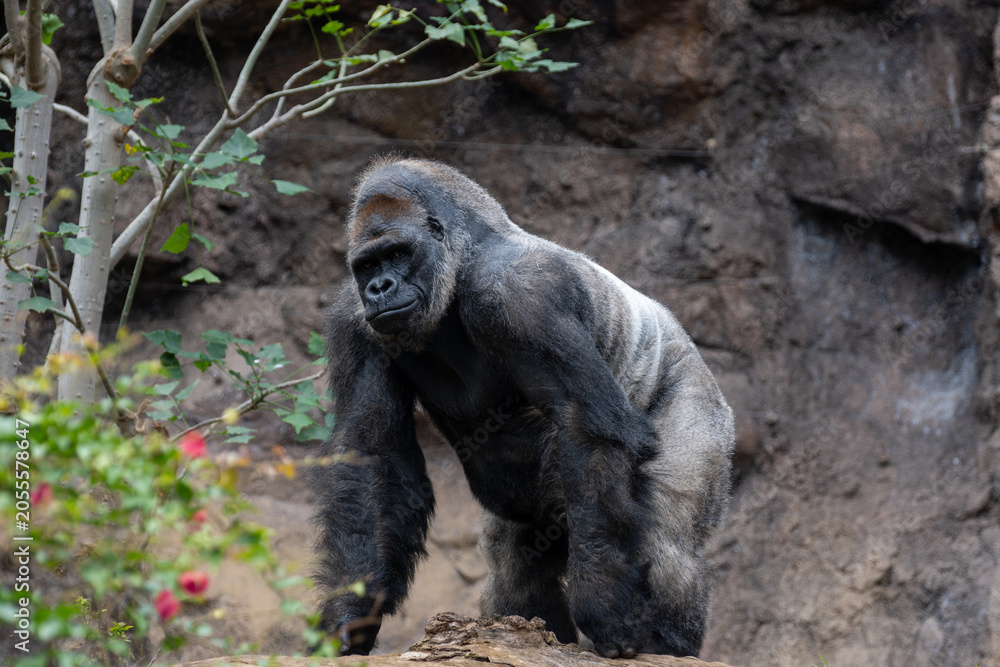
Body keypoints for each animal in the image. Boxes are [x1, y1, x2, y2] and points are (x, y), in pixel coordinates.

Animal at [311, 156, 735, 659]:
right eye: (367, 264)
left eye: (397, 253)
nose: (379, 287)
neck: (462, 263)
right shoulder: (353, 320)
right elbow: (371, 453)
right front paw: (351, 614)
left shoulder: (518, 294)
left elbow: (586, 427)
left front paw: (605, 609)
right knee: (515, 560)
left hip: (697, 395)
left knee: (667, 529)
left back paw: (668, 641)